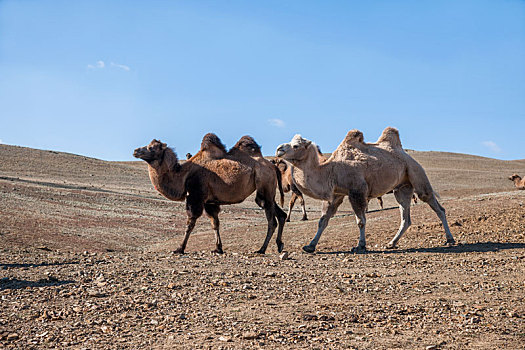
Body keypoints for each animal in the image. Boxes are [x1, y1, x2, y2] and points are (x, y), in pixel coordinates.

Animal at [132, 134, 286, 254]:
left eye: (151, 148)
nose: (135, 151)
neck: (183, 175)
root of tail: (273, 166)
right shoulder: (209, 201)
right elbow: (215, 223)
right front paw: (218, 248)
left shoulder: (196, 196)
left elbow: (190, 223)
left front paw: (179, 248)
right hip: (268, 192)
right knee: (281, 215)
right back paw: (279, 245)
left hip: (265, 185)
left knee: (271, 220)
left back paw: (262, 249)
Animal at [274, 127, 454, 253]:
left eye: (296, 145)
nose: (279, 149)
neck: (330, 170)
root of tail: (407, 156)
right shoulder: (336, 194)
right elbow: (323, 221)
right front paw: (310, 246)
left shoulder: (357, 191)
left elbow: (360, 221)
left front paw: (360, 245)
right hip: (402, 187)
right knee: (406, 217)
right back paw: (391, 243)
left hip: (416, 173)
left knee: (436, 206)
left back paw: (450, 239)